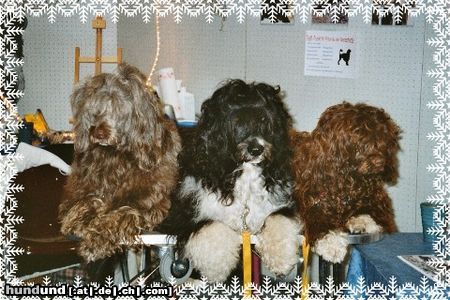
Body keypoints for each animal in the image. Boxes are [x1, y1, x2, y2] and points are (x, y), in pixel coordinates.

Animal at [58, 63, 181, 262]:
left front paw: (95, 241)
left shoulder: (145, 204)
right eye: (94, 109)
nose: (98, 133)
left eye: (118, 107)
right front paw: (79, 219)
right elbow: (86, 201)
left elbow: (118, 216)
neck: (116, 156)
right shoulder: (78, 192)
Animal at [160, 79, 304, 282]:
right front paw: (217, 269)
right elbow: (209, 225)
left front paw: (281, 260)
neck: (243, 174)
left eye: (264, 121)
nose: (256, 149)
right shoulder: (180, 214)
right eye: (236, 122)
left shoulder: (278, 203)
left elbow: (277, 218)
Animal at [292, 102, 400, 262]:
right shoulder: (311, 205)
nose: (380, 162)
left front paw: (361, 220)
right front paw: (331, 244)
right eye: (358, 137)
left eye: (383, 137)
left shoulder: (381, 207)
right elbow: (318, 220)